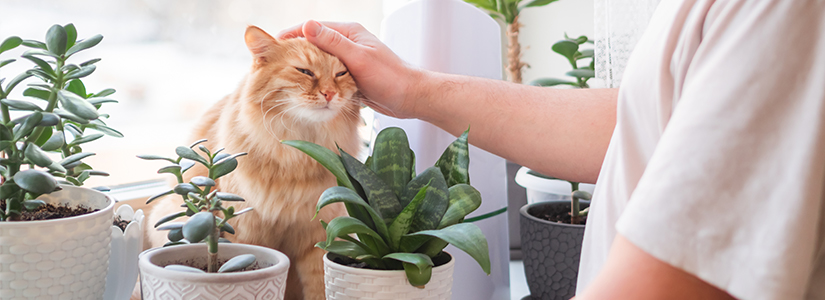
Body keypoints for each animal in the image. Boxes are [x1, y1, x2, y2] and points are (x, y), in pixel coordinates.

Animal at [144, 26, 360, 300]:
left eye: (341, 73)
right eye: (305, 71)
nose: (330, 94)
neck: (298, 150)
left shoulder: (319, 237)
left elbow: (319, 287)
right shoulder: (248, 230)